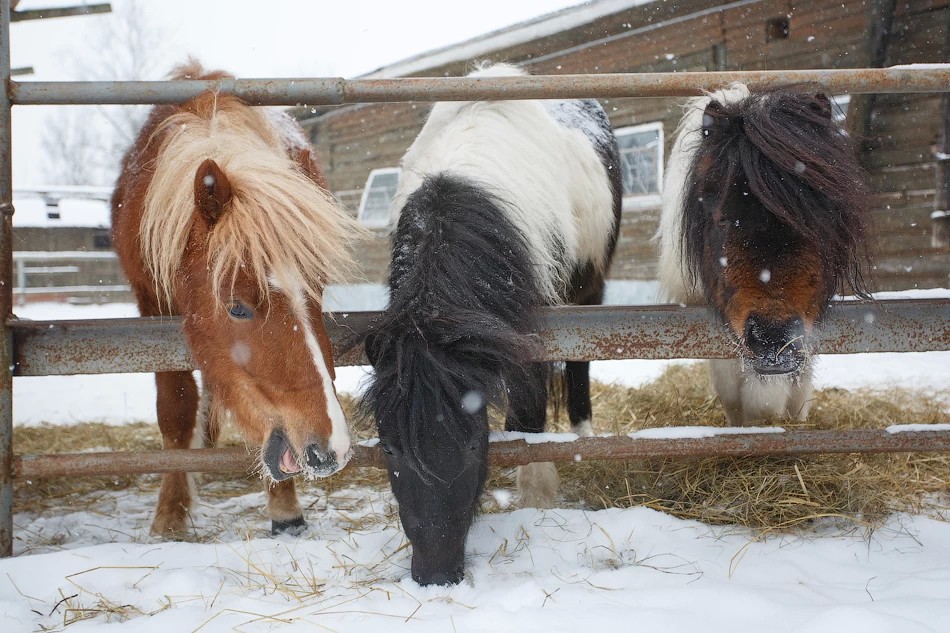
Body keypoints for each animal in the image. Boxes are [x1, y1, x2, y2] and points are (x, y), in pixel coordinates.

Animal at [111, 59, 362, 536]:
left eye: (317, 292)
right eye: (237, 307)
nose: (331, 449)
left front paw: (285, 507)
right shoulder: (152, 310)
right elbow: (175, 408)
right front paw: (170, 515)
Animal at [360, 63, 620, 584]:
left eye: (474, 447)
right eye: (390, 450)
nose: (435, 575)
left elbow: (531, 417)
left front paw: (537, 495)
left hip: (590, 290)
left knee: (580, 365)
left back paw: (583, 436)